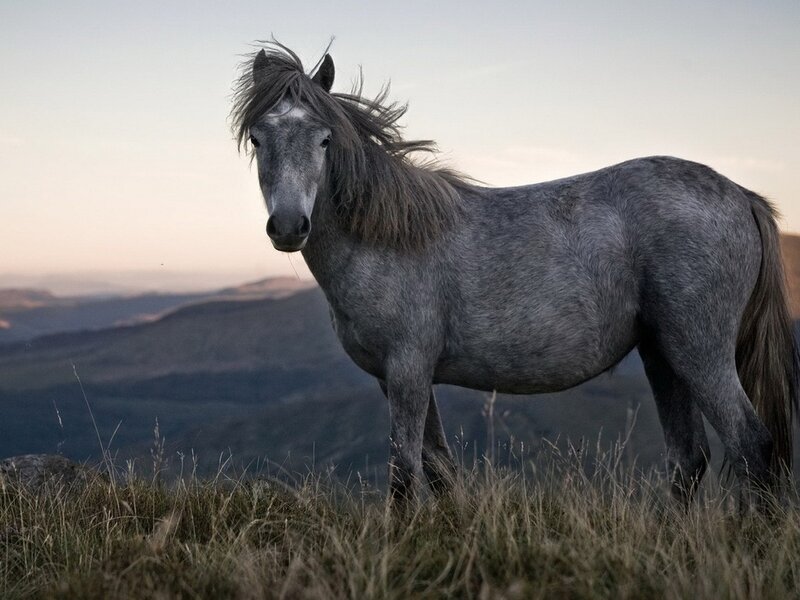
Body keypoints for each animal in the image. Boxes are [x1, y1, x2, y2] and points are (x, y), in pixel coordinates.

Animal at [231, 42, 797, 504]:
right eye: (257, 138)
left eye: (324, 139)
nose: (289, 226)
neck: (388, 238)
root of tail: (742, 195)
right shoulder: (397, 378)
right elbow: (438, 469)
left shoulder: (408, 369)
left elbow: (404, 475)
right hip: (663, 354)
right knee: (689, 459)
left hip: (700, 351)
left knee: (751, 443)